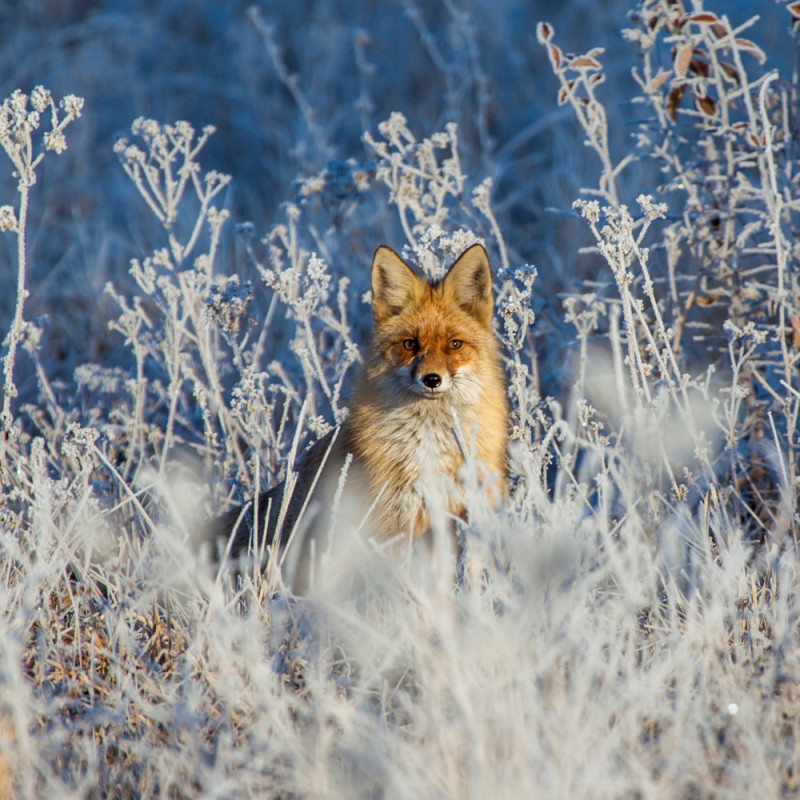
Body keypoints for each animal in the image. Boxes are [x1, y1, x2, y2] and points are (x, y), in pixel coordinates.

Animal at [211, 244, 506, 588]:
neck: (431, 446)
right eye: (410, 344)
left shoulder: (467, 514)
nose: (432, 379)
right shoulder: (393, 525)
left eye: (454, 344)